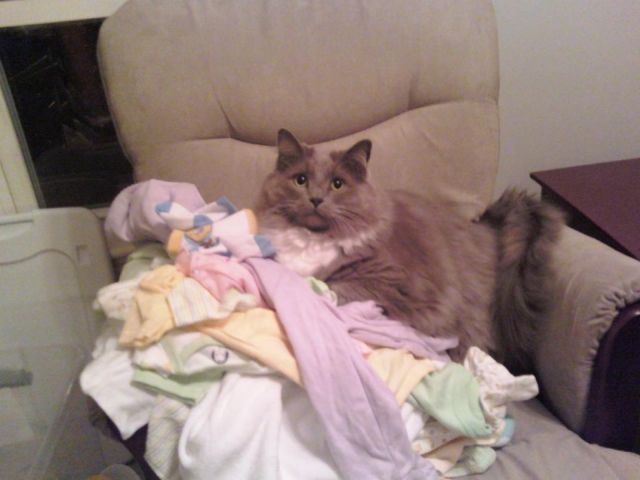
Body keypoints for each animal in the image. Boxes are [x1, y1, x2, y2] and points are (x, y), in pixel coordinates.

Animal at [255, 129, 564, 373]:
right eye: (301, 180)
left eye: (337, 184)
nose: (316, 199)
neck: (313, 237)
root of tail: (489, 228)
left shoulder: (395, 284)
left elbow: (334, 287)